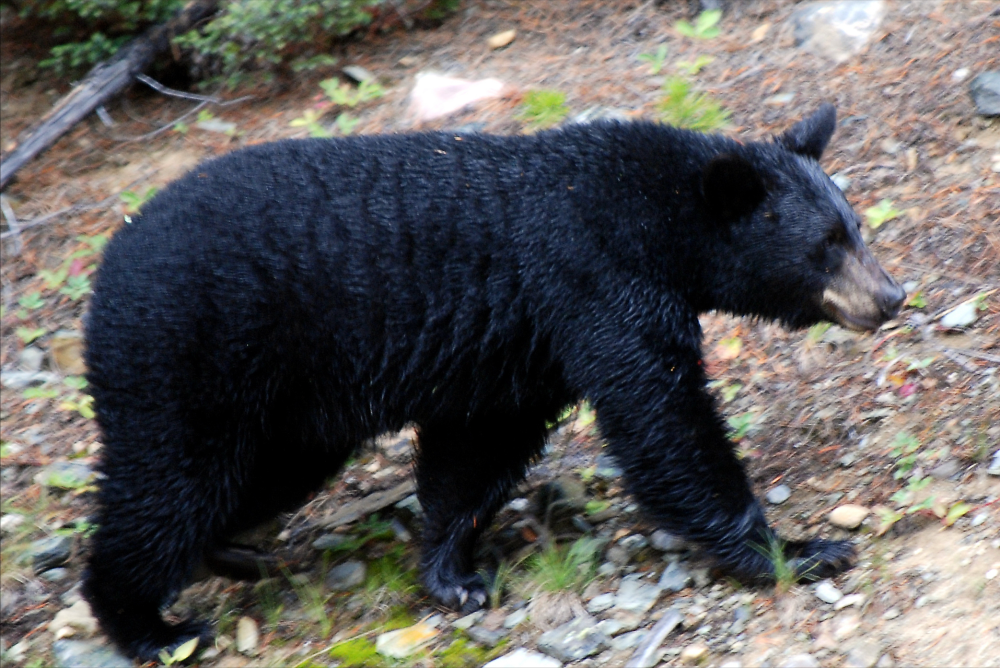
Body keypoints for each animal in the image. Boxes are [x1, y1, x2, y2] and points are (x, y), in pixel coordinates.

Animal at [84, 105, 908, 664]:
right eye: (826, 245)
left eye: (854, 225)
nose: (892, 296)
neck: (656, 219)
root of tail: (108, 264)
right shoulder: (596, 284)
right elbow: (665, 425)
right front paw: (798, 549)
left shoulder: (524, 346)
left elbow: (476, 453)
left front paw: (452, 575)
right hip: (188, 357)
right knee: (169, 486)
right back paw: (149, 627)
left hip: (287, 407)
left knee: (258, 478)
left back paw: (233, 554)